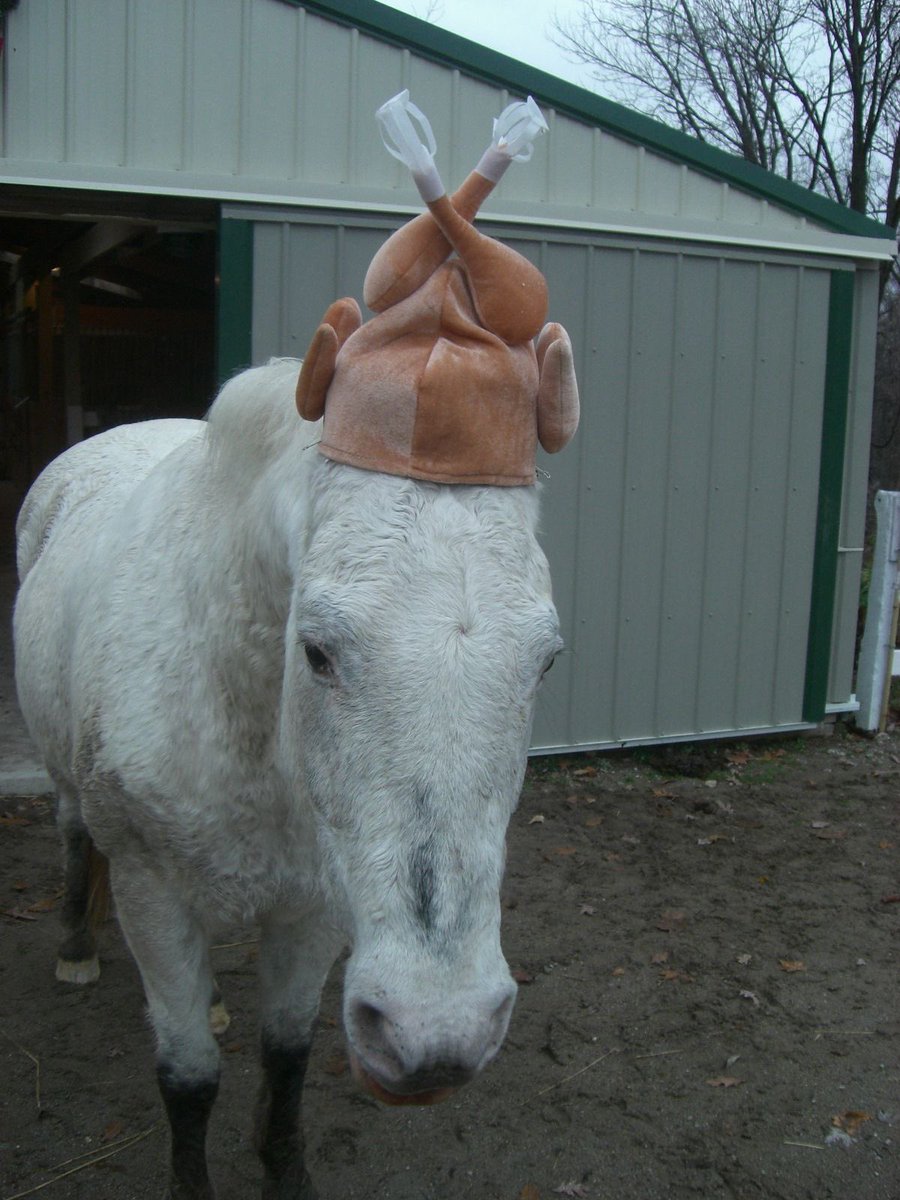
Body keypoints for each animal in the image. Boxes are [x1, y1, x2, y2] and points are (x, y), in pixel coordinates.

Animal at [13, 356, 563, 1199]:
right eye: (316, 651)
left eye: (546, 661)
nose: (437, 1034)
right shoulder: (150, 896)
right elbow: (189, 1079)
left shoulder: (317, 910)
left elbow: (286, 1058)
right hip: (69, 786)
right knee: (73, 833)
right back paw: (76, 948)